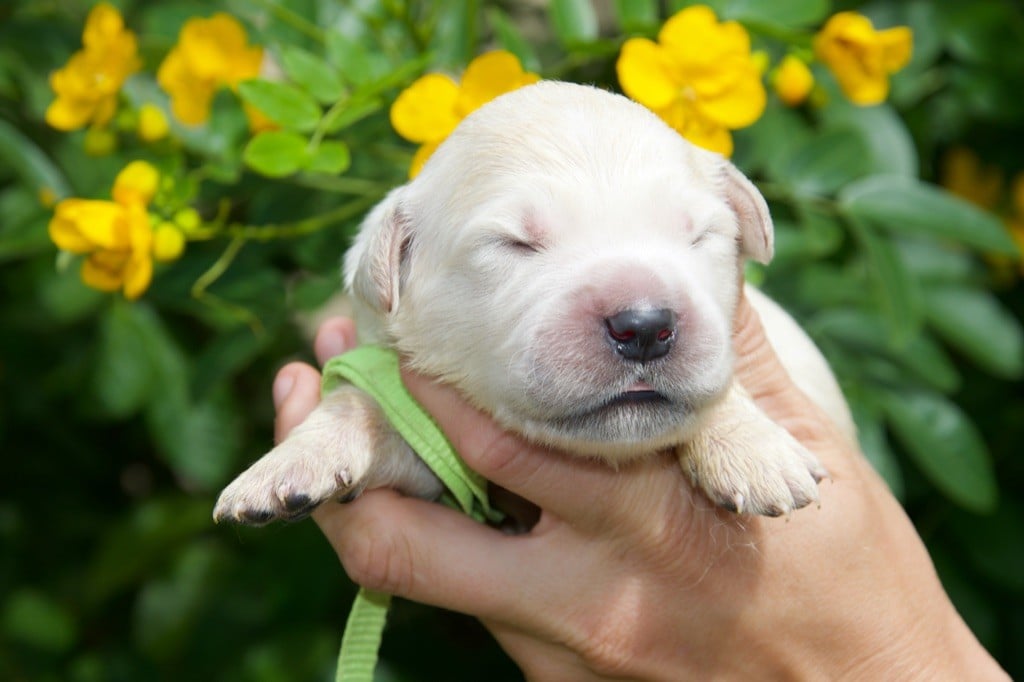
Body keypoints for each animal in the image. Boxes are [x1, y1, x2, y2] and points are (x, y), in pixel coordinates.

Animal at [216, 79, 856, 520]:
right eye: (515, 243)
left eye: (698, 236)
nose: (643, 325)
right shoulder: (435, 462)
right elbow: (366, 405)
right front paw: (289, 463)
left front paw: (751, 447)